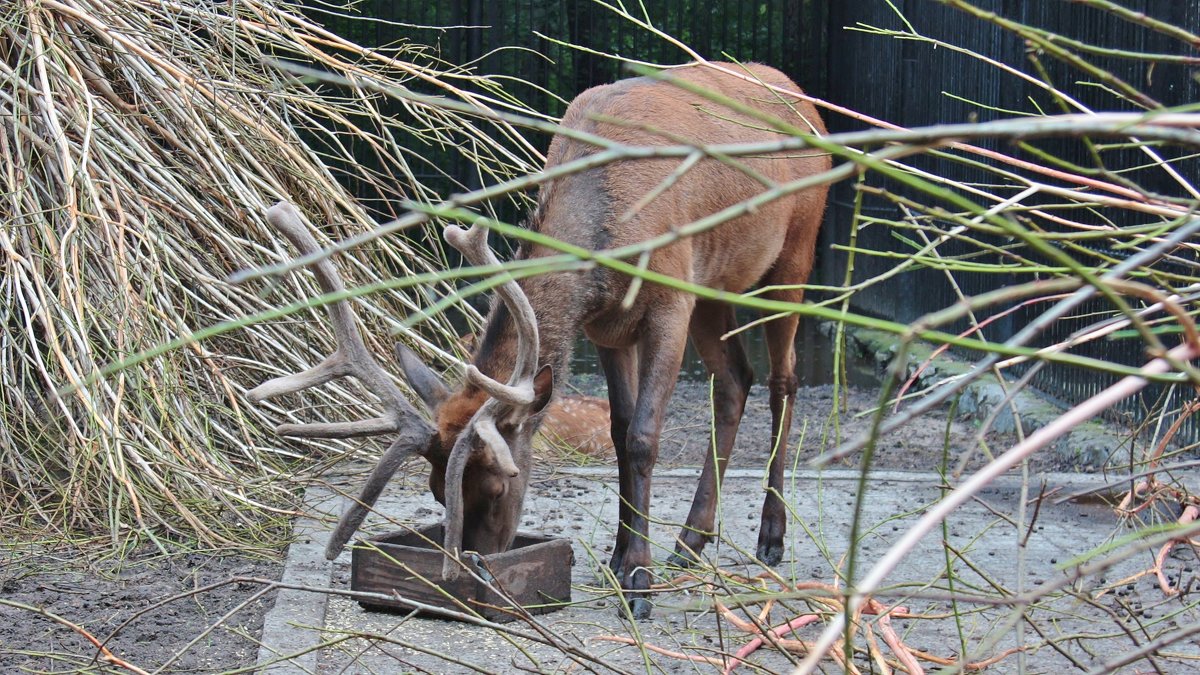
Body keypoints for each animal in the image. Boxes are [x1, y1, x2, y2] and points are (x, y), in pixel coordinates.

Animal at [248, 63, 830, 614]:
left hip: (794, 249)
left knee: (782, 379)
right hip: (715, 283)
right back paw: (691, 541)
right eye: (436, 491)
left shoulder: (670, 298)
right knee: (734, 378)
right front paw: (619, 556)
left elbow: (643, 437)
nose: (478, 559)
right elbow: (619, 430)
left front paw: (639, 582)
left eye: (497, 486)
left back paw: (771, 537)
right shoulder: (606, 328)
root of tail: (808, 103)